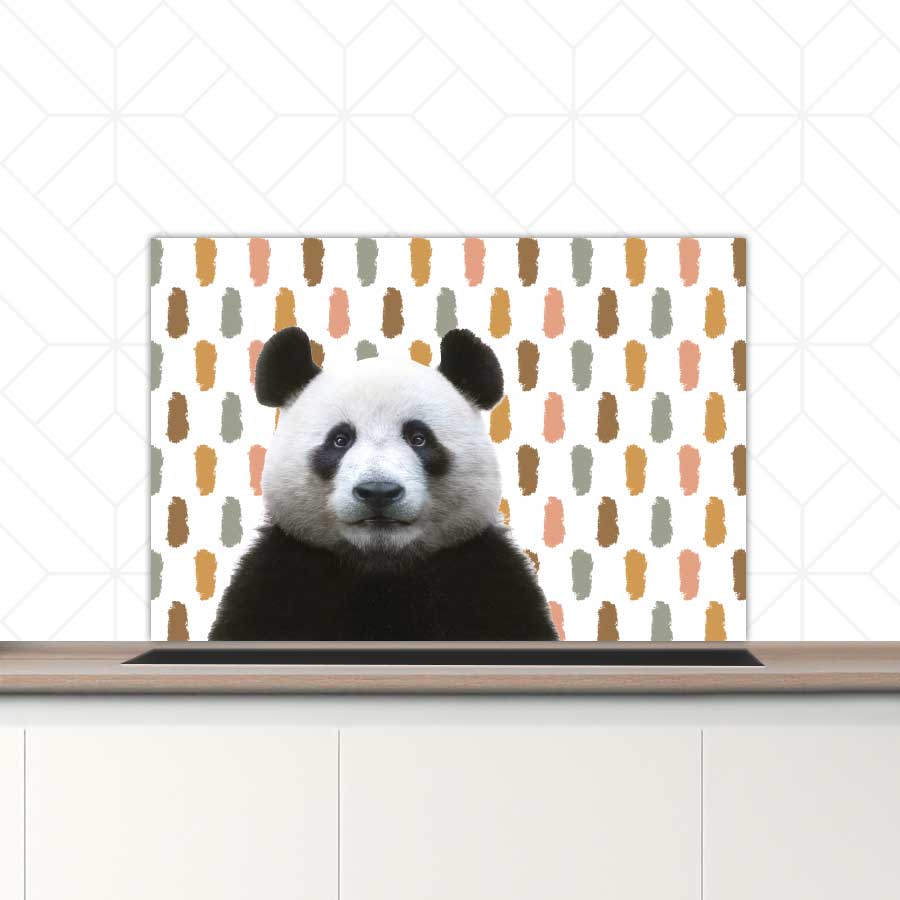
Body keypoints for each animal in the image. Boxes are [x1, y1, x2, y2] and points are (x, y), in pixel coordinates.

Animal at [209, 326, 558, 641]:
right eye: (340, 439)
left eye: (419, 438)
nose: (378, 492)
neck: (381, 566)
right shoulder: (278, 577)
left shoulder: (485, 578)